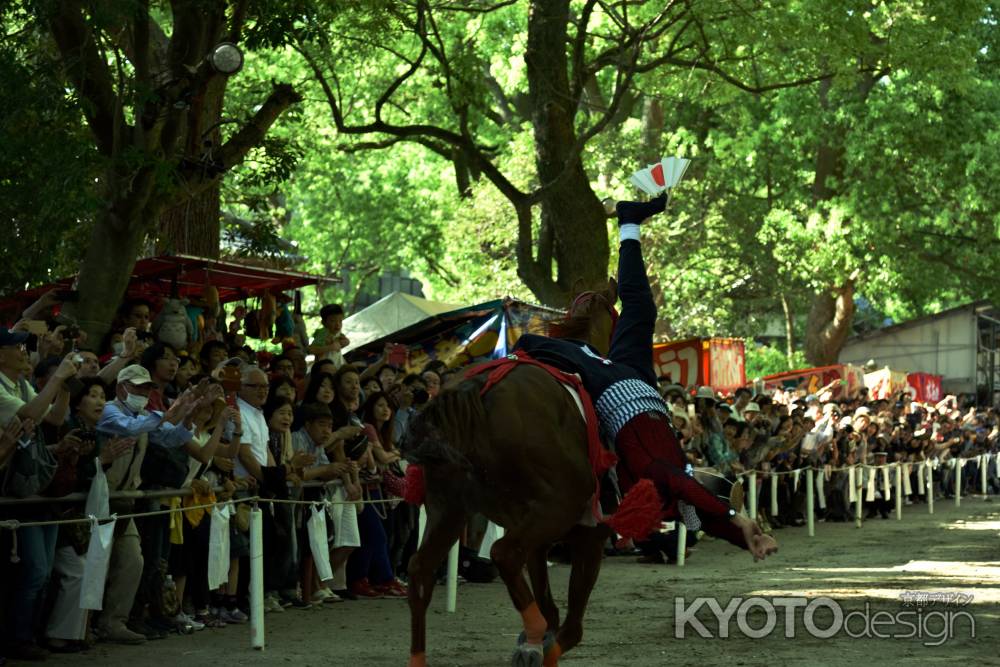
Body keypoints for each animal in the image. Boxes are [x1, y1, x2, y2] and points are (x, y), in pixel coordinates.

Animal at [404, 282, 620, 667]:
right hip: (556, 507)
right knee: (503, 553)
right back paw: (533, 632)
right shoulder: (586, 537)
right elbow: (569, 626)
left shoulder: (536, 538)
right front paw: (541, 645)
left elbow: (550, 605)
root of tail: (473, 393)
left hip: (449, 507)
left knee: (420, 571)